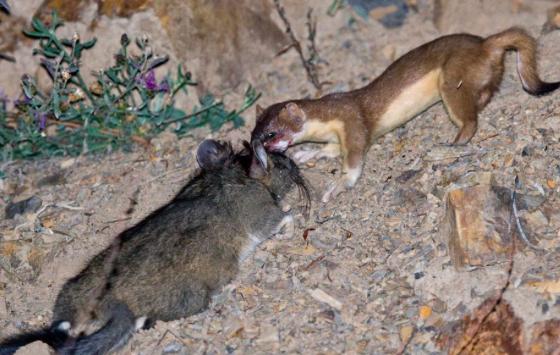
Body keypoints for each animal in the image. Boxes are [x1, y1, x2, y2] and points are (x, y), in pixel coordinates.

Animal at [250, 27, 560, 203]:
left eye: (271, 133)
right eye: (254, 130)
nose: (258, 146)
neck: (330, 116)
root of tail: (484, 43)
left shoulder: (352, 121)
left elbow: (354, 158)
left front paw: (336, 186)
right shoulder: (338, 135)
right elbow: (330, 149)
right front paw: (308, 154)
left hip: (451, 80)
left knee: (470, 119)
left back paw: (454, 142)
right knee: (488, 91)